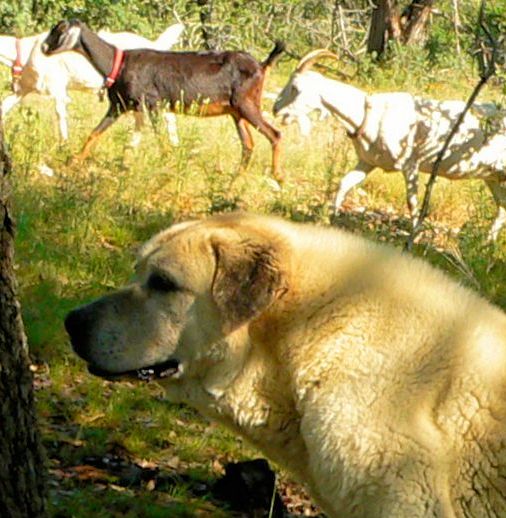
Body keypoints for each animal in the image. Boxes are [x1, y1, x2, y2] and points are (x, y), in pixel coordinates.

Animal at [0, 23, 184, 143]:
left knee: (168, 117)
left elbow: (60, 115)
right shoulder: (22, 90)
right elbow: (3, 107)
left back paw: (173, 145)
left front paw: (64, 145)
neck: (26, 52)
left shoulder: (58, 89)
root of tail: (155, 45)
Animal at [41, 19, 286, 182]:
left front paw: (167, 167)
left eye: (60, 29)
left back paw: (277, 176)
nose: (43, 47)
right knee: (248, 144)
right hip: (236, 111)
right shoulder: (119, 106)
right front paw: (73, 161)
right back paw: (236, 176)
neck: (117, 63)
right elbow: (95, 133)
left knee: (274, 134)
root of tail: (261, 65)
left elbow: (162, 140)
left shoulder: (153, 104)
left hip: (247, 103)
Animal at [274, 49, 506, 243]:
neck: (369, 113)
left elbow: (412, 203)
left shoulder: (410, 164)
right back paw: (486, 244)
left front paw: (414, 236)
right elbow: (344, 183)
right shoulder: (367, 162)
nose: (276, 109)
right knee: (502, 208)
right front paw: (329, 216)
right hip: (492, 177)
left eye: (295, 88)